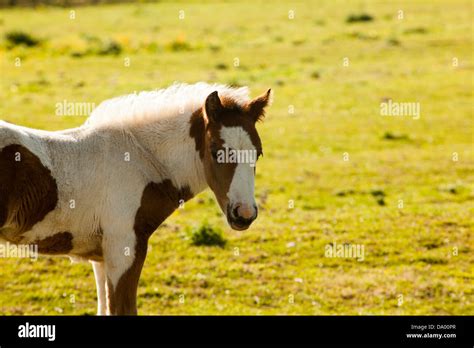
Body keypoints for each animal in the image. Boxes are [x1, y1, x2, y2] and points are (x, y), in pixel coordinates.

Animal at [0, 82, 272, 316]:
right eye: (216, 152)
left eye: (258, 153)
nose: (244, 214)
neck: (139, 158)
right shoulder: (124, 249)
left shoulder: (102, 257)